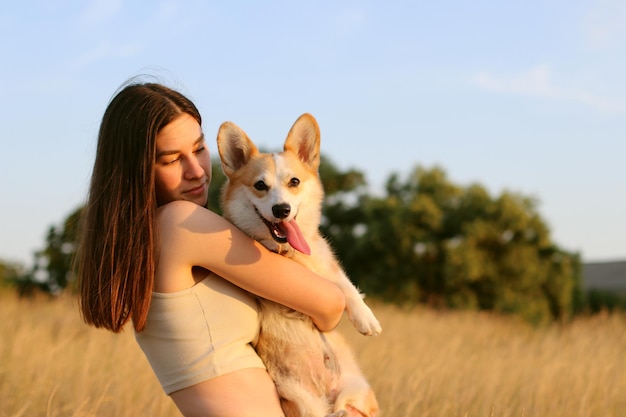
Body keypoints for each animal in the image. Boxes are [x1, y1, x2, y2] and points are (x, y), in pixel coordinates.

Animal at [214, 114, 380, 416]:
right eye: (260, 185)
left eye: (294, 181)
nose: (282, 210)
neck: (291, 254)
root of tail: (329, 399)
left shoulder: (326, 264)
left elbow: (346, 285)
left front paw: (366, 319)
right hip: (299, 399)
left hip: (354, 390)